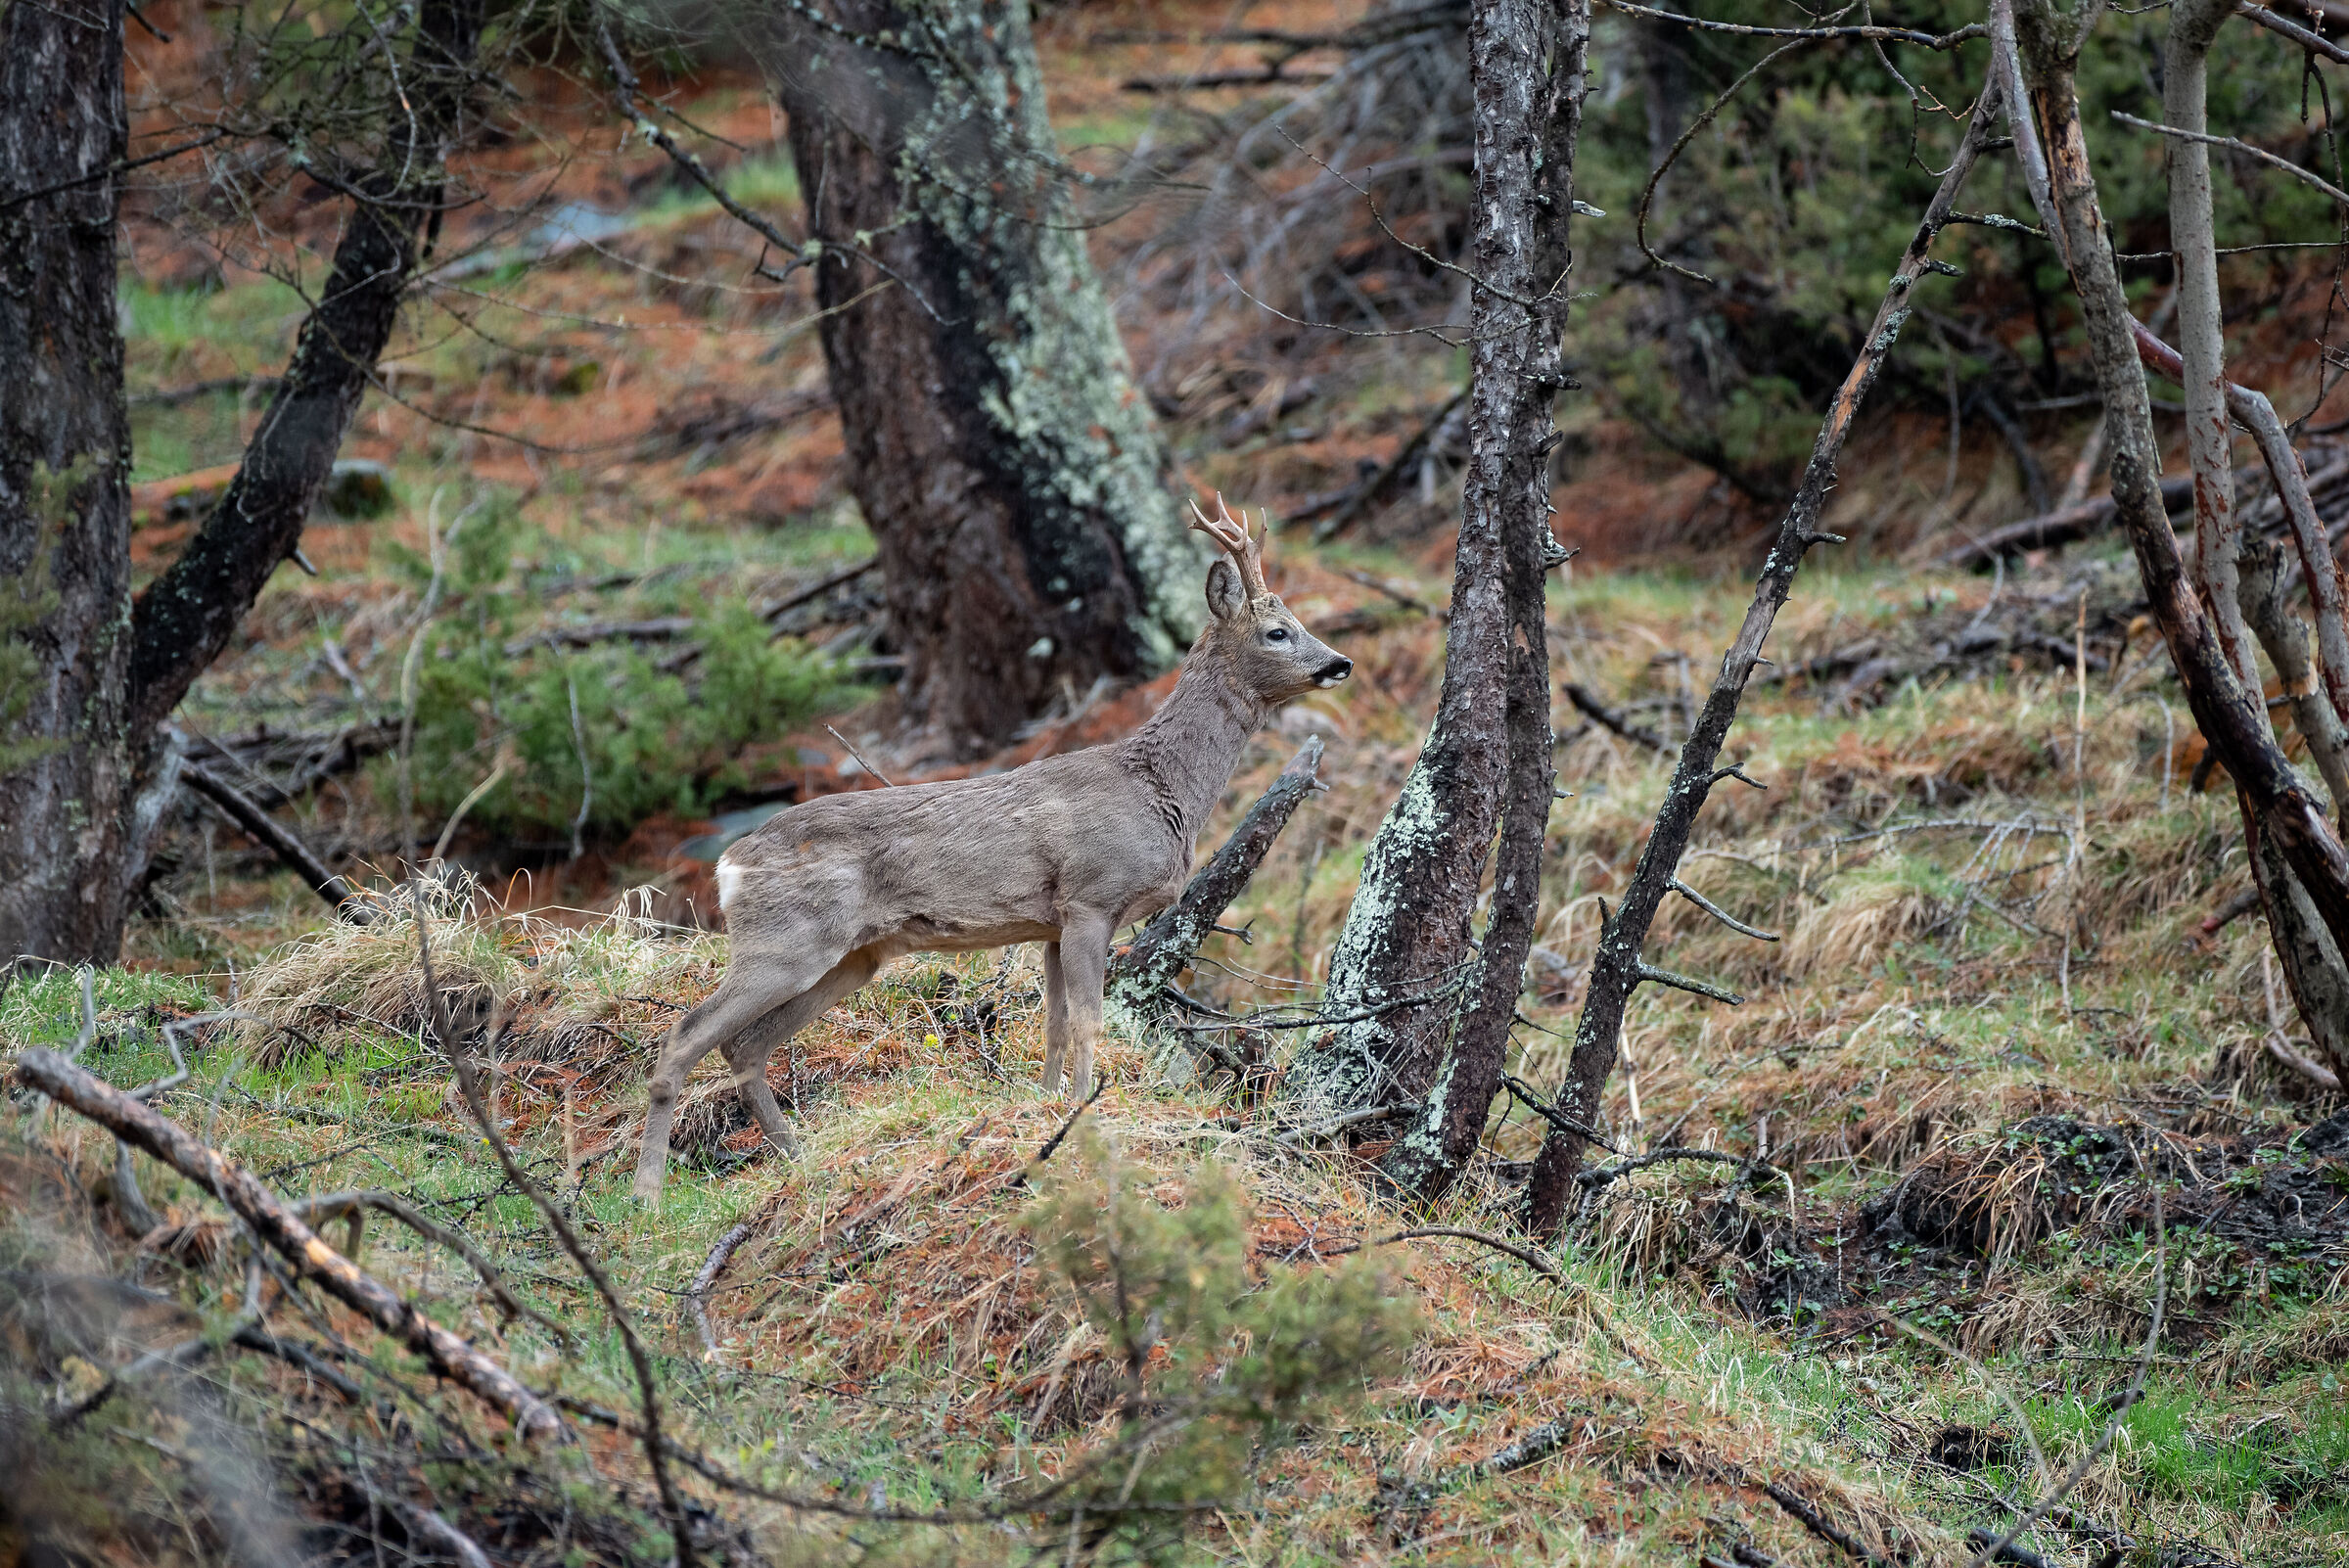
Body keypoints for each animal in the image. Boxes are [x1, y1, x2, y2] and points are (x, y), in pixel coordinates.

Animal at [631, 498, 1353, 1201]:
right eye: (1277, 631)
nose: (1339, 664)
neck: (1160, 787)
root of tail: (729, 863)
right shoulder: (1092, 898)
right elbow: (1090, 1022)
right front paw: (1087, 1117)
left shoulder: (1053, 924)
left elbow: (1055, 1024)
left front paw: (1047, 1111)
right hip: (785, 941)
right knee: (686, 1035)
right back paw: (648, 1192)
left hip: (850, 957)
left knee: (745, 1048)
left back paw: (800, 1162)